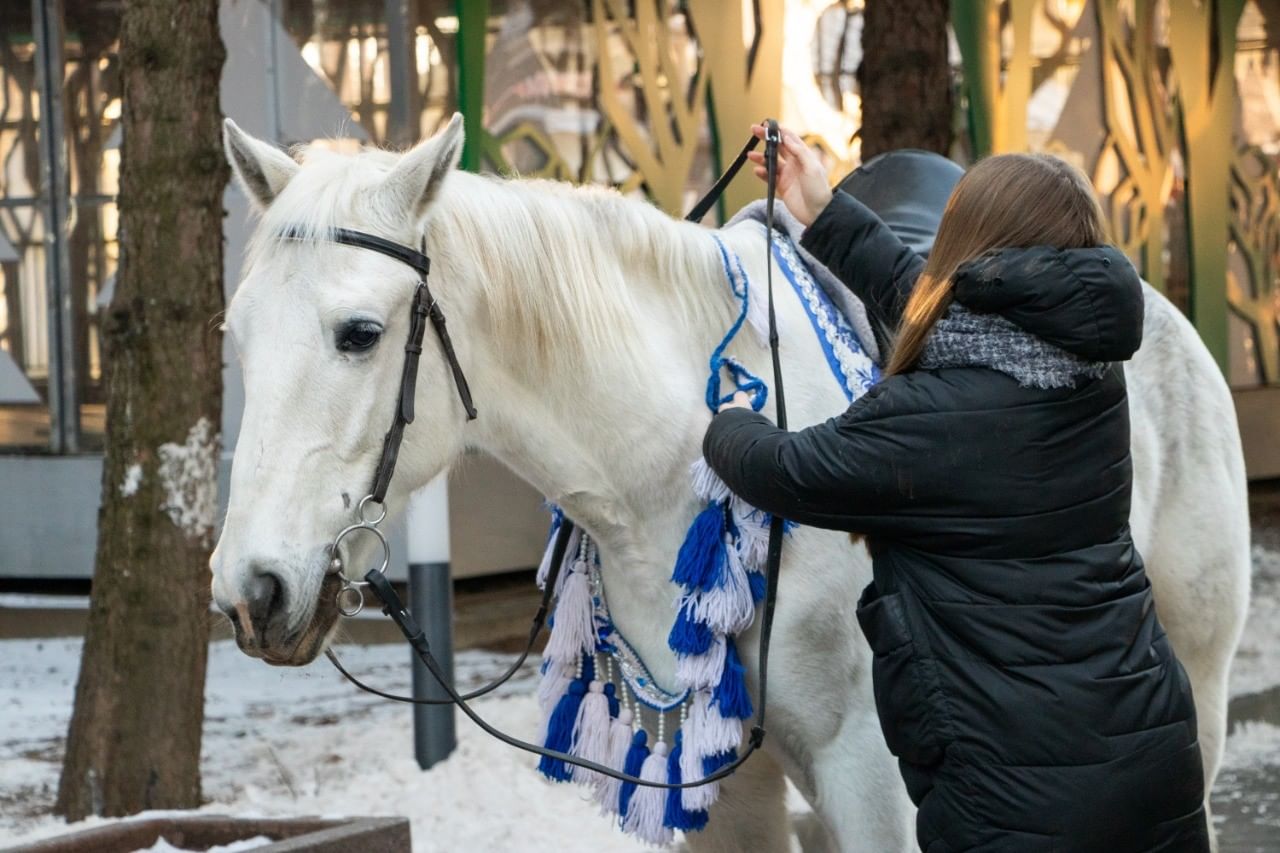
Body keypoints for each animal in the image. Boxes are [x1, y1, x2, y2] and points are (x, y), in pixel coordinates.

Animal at [212, 114, 1249, 850]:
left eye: (360, 333)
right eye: (237, 335)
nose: (250, 590)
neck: (663, 480)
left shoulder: (870, 775)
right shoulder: (720, 778)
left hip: (1196, 692)